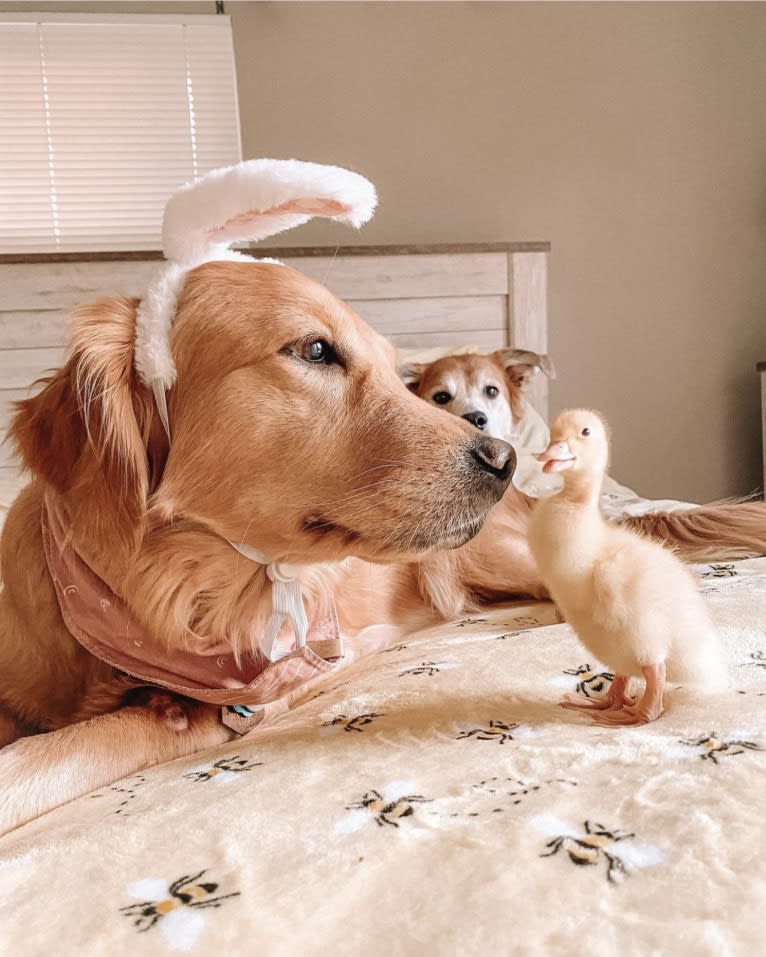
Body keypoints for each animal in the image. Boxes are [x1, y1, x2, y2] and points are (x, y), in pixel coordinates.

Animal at [0, 162, 764, 828]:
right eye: (314, 351)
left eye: (397, 372)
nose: (505, 458)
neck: (158, 591)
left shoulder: (206, 712)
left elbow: (35, 760)